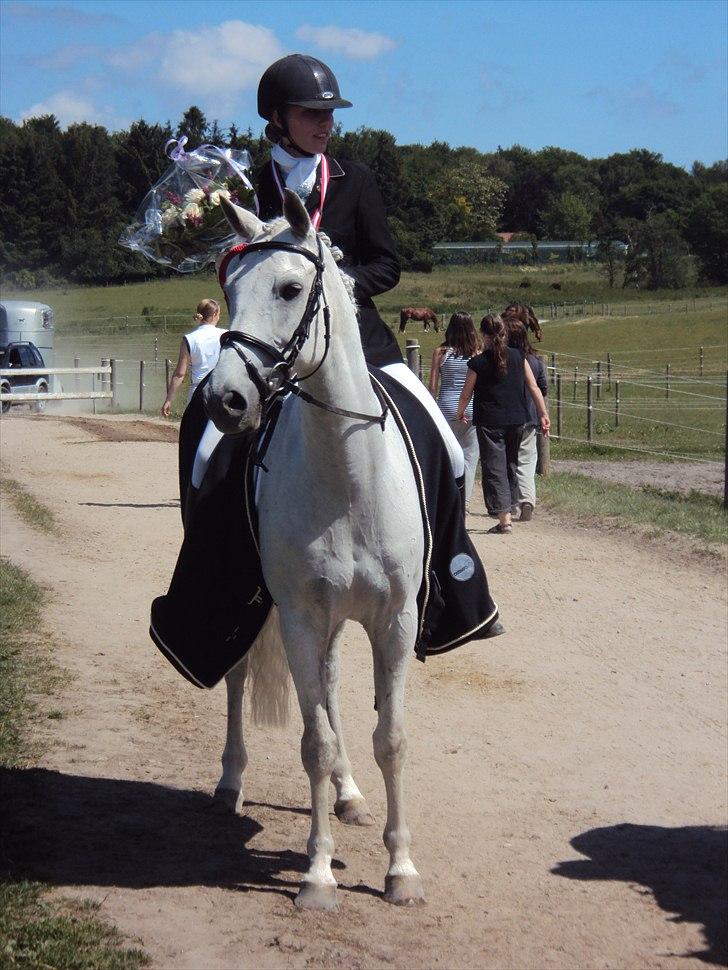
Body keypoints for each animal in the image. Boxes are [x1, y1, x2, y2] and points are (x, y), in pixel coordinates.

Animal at [200, 191, 426, 908]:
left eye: (290, 288)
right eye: (228, 289)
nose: (226, 400)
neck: (346, 476)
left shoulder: (395, 620)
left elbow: (392, 738)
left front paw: (400, 869)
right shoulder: (299, 616)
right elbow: (313, 743)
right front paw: (318, 874)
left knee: (327, 687)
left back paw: (349, 794)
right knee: (241, 677)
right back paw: (230, 783)